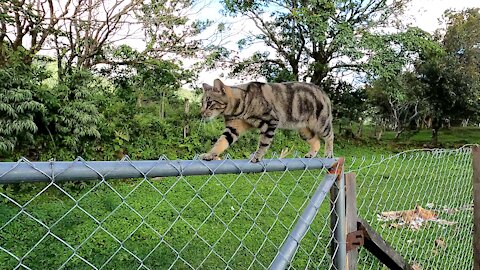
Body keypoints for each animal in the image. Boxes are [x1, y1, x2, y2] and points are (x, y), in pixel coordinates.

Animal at [199, 78, 334, 162]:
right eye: (201, 102)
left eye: (209, 103)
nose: (201, 113)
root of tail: (323, 92)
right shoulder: (233, 128)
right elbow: (221, 142)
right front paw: (209, 154)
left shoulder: (270, 121)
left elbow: (264, 143)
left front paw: (257, 157)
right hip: (304, 131)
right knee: (316, 141)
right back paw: (310, 154)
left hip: (321, 123)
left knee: (330, 136)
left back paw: (328, 154)